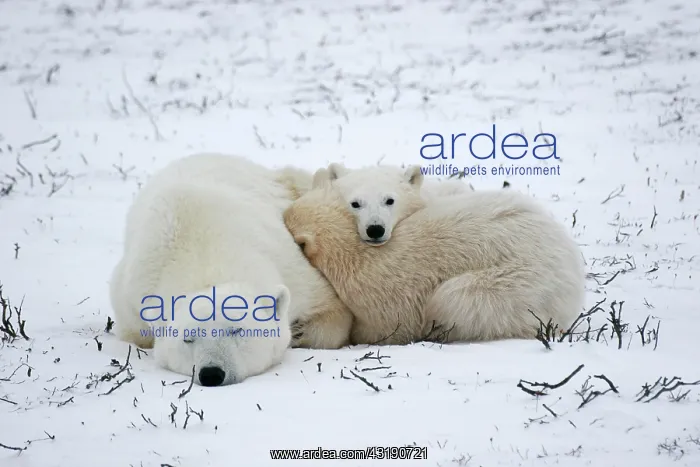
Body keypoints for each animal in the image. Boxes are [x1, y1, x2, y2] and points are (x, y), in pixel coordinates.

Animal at [109, 153, 354, 386]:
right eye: (187, 337)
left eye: (236, 330)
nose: (212, 373)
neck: (203, 261)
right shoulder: (132, 294)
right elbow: (135, 335)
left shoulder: (287, 265)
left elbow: (328, 305)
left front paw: (301, 332)